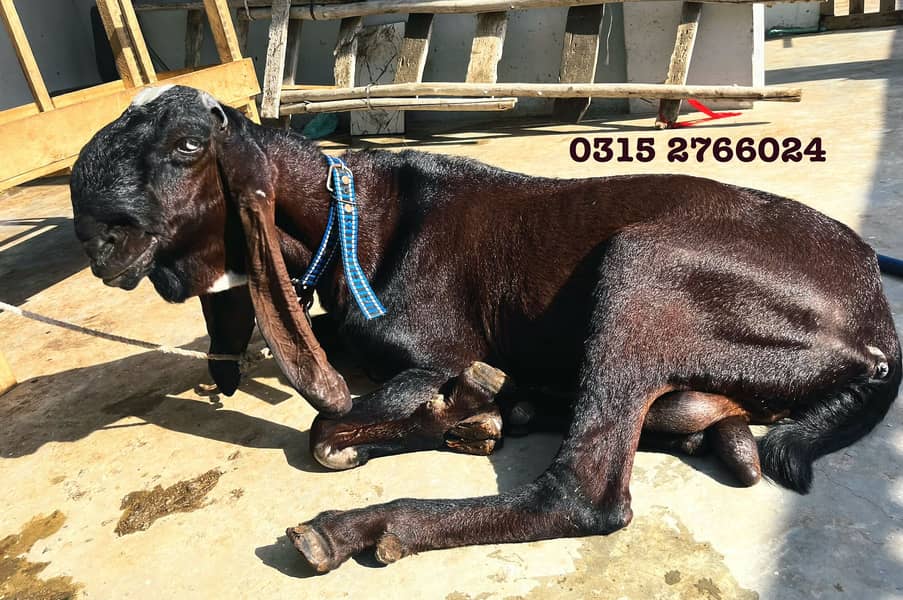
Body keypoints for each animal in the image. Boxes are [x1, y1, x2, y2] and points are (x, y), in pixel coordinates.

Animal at [70, 86, 899, 573]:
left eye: (187, 146)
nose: (94, 238)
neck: (346, 220)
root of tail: (876, 323)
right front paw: (469, 415)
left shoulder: (431, 352)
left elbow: (327, 426)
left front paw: (440, 414)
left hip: (642, 259)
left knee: (581, 494)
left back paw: (363, 523)